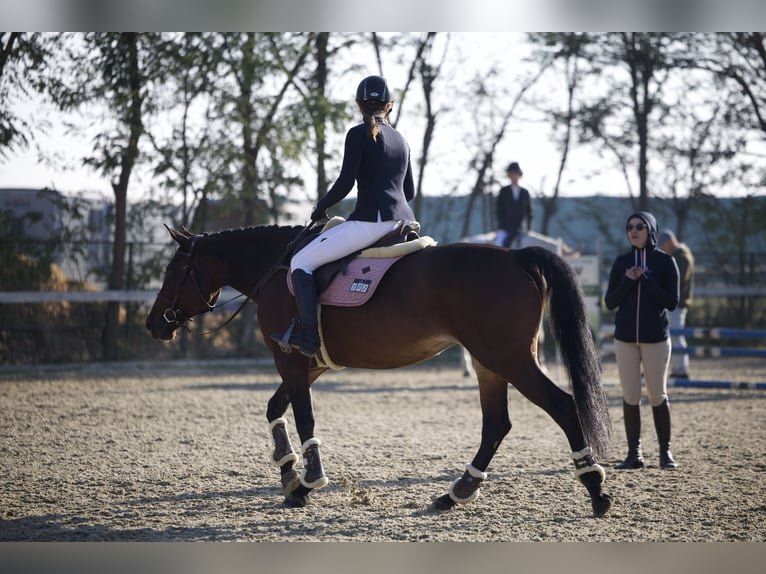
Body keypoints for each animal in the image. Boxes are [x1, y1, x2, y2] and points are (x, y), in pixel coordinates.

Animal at [142, 224, 612, 516]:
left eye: (172, 270)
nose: (153, 324)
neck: (279, 269)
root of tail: (515, 257)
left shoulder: (291, 360)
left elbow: (303, 415)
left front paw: (307, 482)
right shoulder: (309, 364)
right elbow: (275, 407)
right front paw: (288, 468)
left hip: (508, 358)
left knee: (563, 406)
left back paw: (595, 489)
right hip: (489, 362)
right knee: (497, 424)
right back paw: (456, 493)